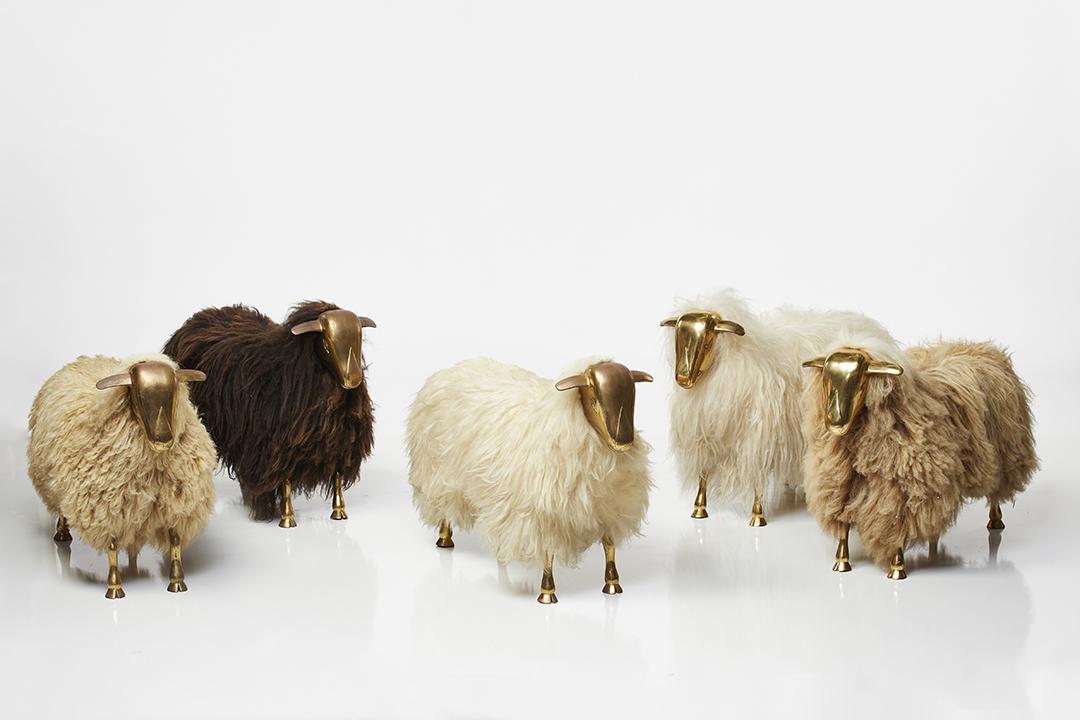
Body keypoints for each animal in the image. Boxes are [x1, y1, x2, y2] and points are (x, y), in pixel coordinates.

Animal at [27, 354, 216, 598]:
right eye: (139, 396)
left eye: (172, 392)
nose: (164, 439)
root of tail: (82, 360)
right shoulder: (108, 510)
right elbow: (112, 547)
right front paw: (115, 587)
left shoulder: (176, 505)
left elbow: (175, 542)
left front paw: (177, 582)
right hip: (57, 485)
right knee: (61, 510)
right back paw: (62, 534)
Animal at [163, 301, 376, 526]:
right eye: (326, 344)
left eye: (359, 338)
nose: (353, 379)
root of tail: (200, 317)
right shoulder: (275, 451)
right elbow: (286, 484)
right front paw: (286, 519)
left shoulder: (340, 449)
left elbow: (336, 480)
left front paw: (339, 513)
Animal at [406, 357, 653, 604]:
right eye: (594, 401)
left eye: (632, 398)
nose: (624, 442)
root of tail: (448, 371)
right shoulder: (543, 514)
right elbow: (548, 553)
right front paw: (547, 592)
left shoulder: (610, 507)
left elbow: (609, 546)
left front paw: (612, 584)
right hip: (439, 474)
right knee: (444, 507)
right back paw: (444, 539)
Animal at [661, 289, 897, 525]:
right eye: (677, 340)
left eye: (707, 343)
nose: (682, 378)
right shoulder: (703, 433)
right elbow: (703, 473)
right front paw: (699, 508)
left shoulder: (758, 436)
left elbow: (756, 475)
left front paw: (757, 515)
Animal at [800, 334, 1038, 580]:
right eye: (827, 378)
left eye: (859, 378)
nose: (834, 420)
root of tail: (983, 347)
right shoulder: (840, 485)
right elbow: (843, 528)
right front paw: (841, 562)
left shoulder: (900, 492)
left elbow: (897, 527)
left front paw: (897, 569)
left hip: (1006, 453)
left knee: (996, 493)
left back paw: (995, 521)